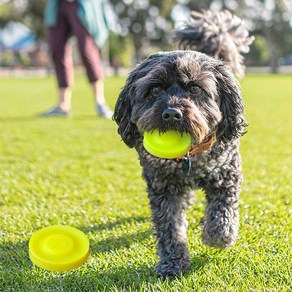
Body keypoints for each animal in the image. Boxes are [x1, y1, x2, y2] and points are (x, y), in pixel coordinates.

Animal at [113, 10, 253, 278]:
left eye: (195, 88)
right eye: (154, 89)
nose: (171, 113)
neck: (191, 156)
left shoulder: (227, 174)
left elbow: (223, 209)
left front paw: (217, 235)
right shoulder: (163, 187)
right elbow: (170, 229)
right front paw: (172, 263)